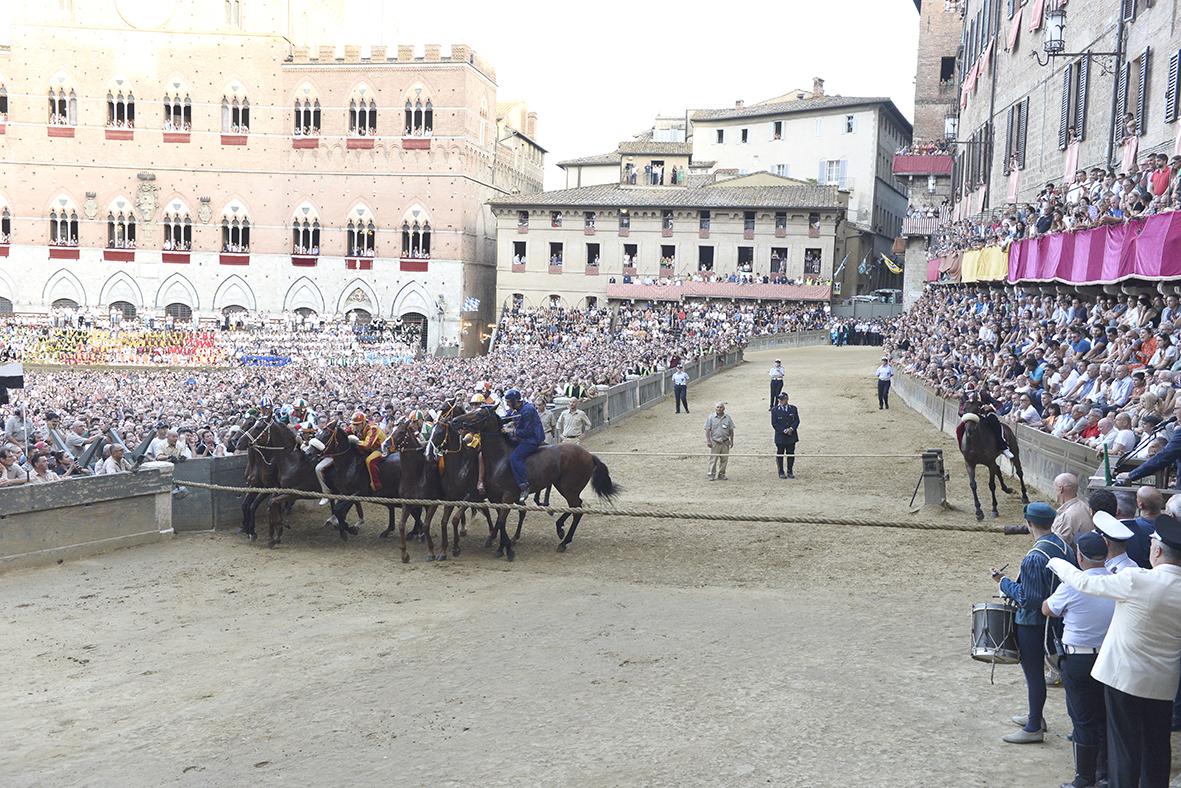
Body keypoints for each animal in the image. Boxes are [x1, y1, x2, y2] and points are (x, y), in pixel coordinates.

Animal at [446, 406, 623, 559]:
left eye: (478, 413)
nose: (454, 420)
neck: (500, 458)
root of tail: (589, 455)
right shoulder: (496, 497)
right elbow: (500, 521)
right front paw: (502, 547)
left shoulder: (508, 496)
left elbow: (501, 521)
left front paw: (507, 550)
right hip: (563, 486)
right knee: (576, 506)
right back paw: (560, 528)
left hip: (568, 488)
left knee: (577, 508)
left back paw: (563, 541)